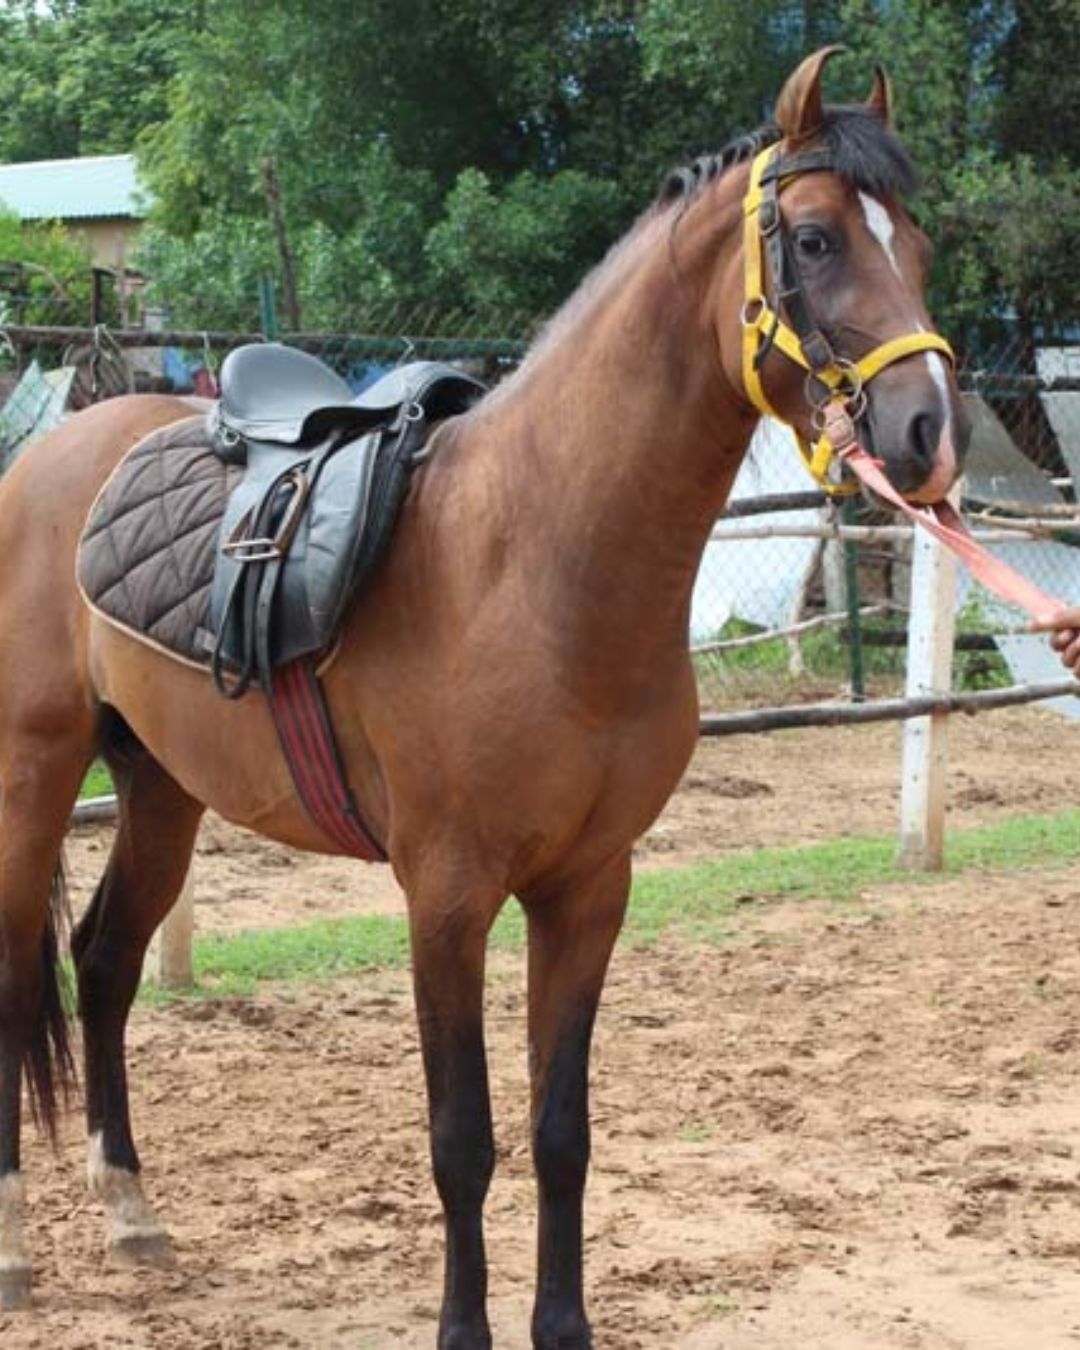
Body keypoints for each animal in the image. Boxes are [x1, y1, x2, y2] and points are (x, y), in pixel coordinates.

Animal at [0, 47, 968, 1348]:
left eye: (914, 244)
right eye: (813, 240)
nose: (927, 436)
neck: (536, 559)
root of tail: (57, 454)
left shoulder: (588, 891)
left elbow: (562, 1133)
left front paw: (564, 1326)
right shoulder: (447, 897)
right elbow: (463, 1141)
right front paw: (466, 1327)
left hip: (161, 787)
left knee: (103, 964)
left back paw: (130, 1213)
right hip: (34, 776)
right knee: (21, 983)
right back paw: (17, 1249)